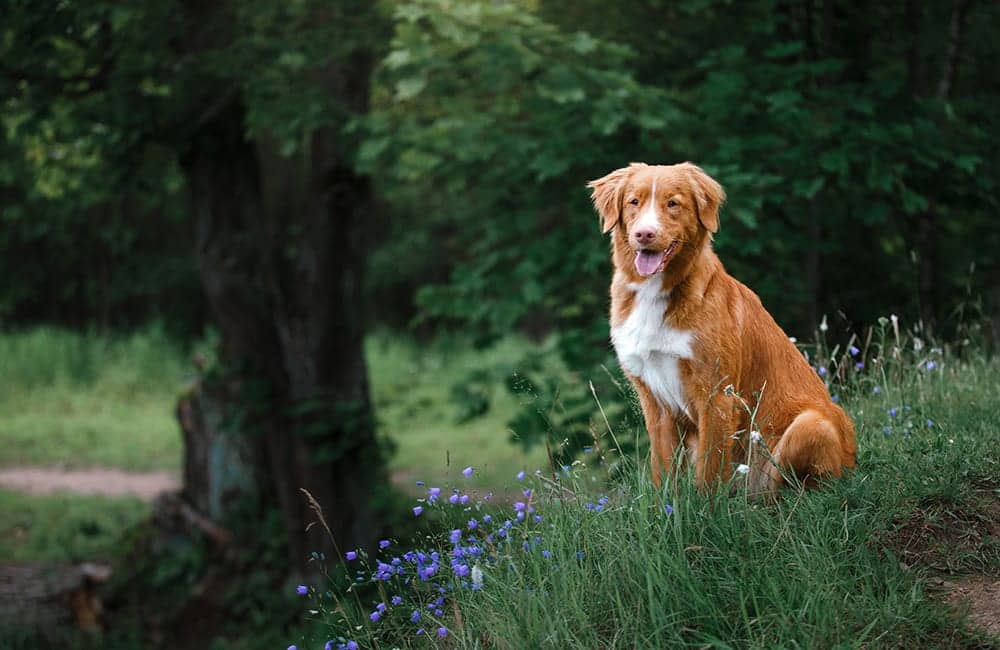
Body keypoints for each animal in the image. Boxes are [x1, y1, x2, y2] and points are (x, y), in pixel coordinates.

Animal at [588, 162, 856, 492]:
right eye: (633, 202)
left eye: (673, 203)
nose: (644, 234)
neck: (656, 293)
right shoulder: (654, 399)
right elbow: (663, 470)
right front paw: (668, 504)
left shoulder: (716, 395)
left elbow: (710, 469)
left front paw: (706, 505)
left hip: (811, 424)